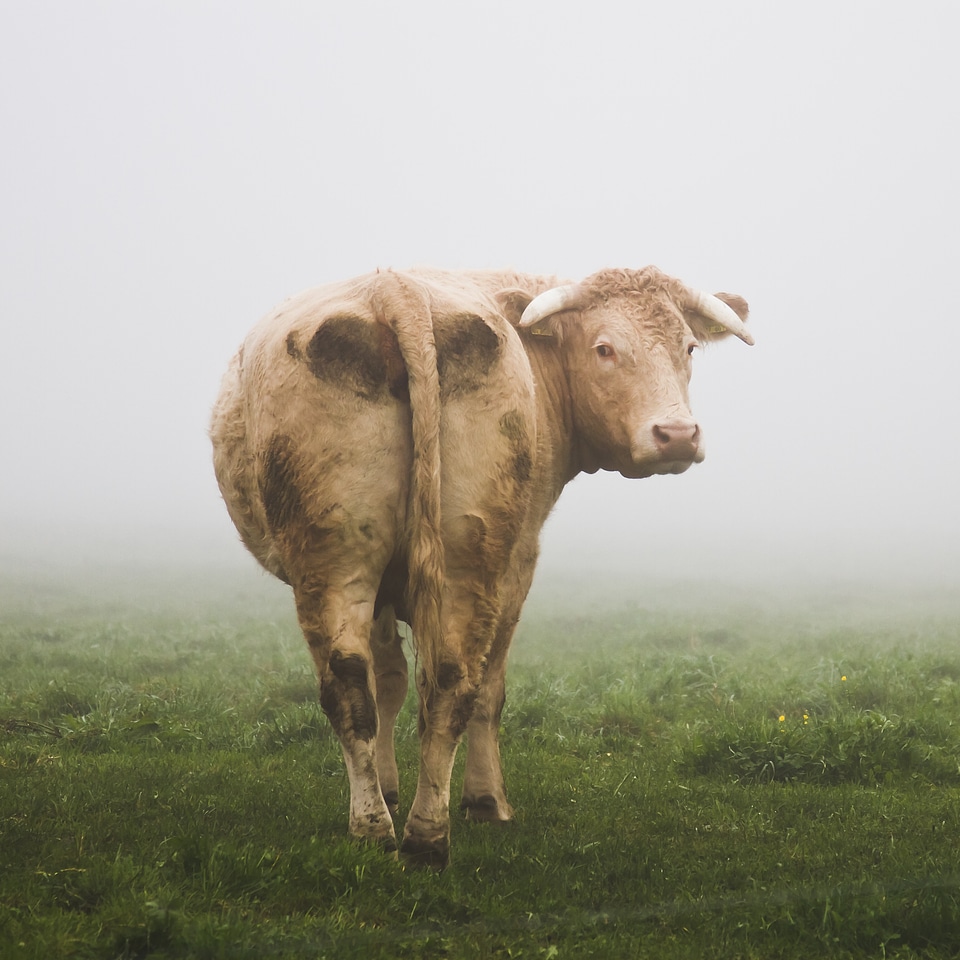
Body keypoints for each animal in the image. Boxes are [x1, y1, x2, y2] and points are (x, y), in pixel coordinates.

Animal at [210, 264, 752, 872]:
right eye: (605, 348)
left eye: (688, 347)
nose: (677, 435)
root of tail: (394, 290)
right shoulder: (516, 557)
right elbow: (426, 683)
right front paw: (458, 797)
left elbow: (401, 682)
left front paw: (415, 791)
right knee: (433, 682)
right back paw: (406, 828)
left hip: (355, 554)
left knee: (383, 681)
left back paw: (399, 829)